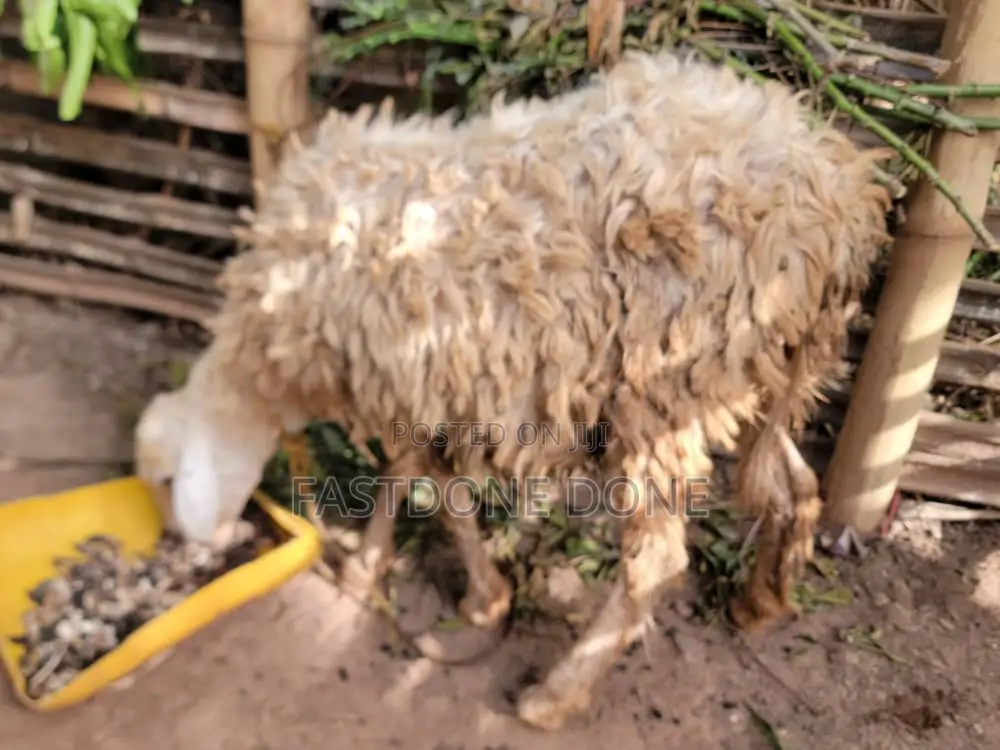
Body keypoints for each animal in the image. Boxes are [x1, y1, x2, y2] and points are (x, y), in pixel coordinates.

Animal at [134, 49, 892, 731]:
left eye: (167, 485)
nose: (182, 555)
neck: (263, 352)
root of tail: (837, 197)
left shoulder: (406, 384)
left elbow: (434, 491)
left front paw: (463, 594)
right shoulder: (418, 392)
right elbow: (412, 479)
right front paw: (391, 575)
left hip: (662, 395)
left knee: (656, 560)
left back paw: (555, 696)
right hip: (765, 372)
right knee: (791, 487)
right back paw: (762, 602)